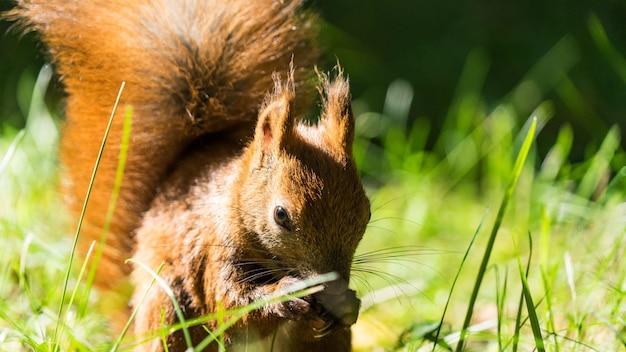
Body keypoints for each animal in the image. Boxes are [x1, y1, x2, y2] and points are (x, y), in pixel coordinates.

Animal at [8, 0, 370, 350]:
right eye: (280, 215)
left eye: (366, 214)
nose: (332, 283)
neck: (233, 203)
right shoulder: (212, 250)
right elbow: (231, 307)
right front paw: (288, 294)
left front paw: (346, 304)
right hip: (167, 307)